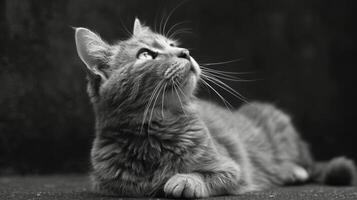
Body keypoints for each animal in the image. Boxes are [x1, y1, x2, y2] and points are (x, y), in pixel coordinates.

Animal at [73, 18, 356, 198]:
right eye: (145, 54)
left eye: (173, 44)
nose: (185, 52)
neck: (155, 135)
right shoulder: (107, 184)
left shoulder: (232, 167)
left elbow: (207, 175)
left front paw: (184, 179)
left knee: (307, 163)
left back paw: (291, 170)